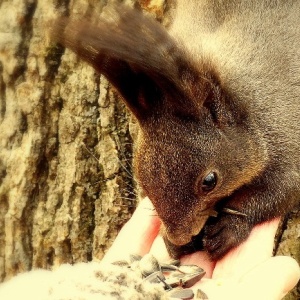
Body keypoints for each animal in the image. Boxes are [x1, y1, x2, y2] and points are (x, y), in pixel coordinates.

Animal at [50, 0, 300, 260]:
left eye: (210, 181)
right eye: (143, 182)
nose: (180, 237)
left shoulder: (284, 139)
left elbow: (280, 191)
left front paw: (228, 228)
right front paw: (173, 242)